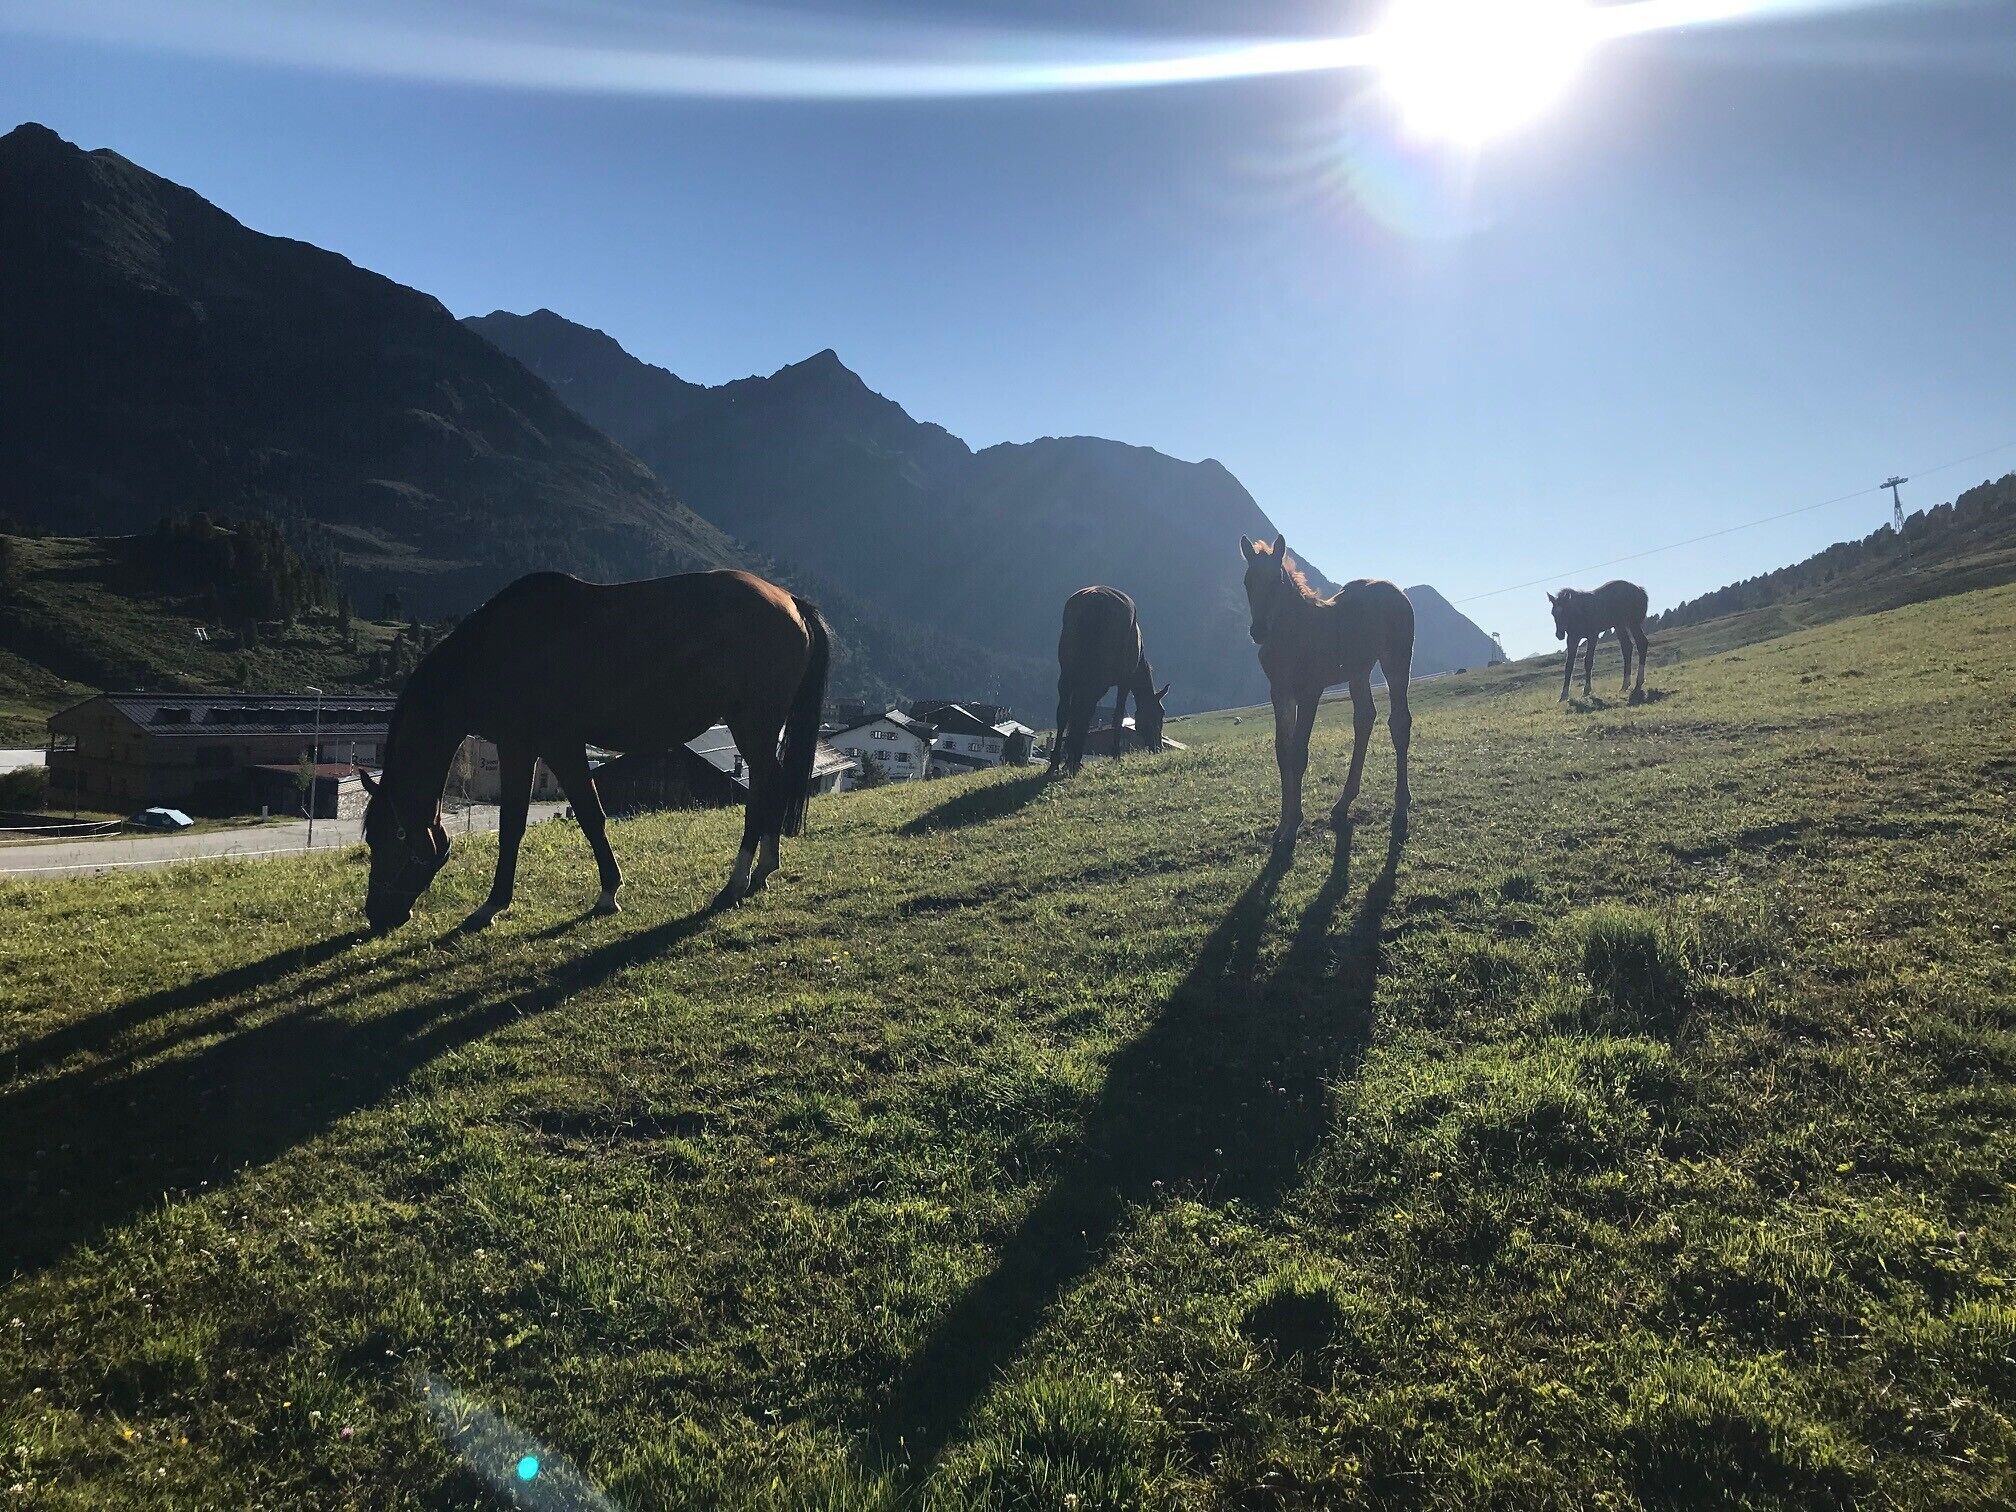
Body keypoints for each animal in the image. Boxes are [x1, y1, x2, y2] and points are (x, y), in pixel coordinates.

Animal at [360, 569, 830, 934]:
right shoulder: (547, 748)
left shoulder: (535, 746)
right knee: (772, 785)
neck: (497, 652)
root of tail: (790, 601)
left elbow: (534, 823)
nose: (378, 916)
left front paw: (494, 905)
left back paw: (736, 882)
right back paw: (763, 870)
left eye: (386, 839)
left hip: (752, 725)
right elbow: (587, 815)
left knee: (763, 788)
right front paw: (608, 890)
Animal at [1048, 586, 1170, 774]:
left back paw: (1058, 763)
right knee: (1083, 711)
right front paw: (1116, 755)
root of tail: (1092, 602)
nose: (1158, 748)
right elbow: (1117, 716)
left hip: (1067, 676)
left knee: (1066, 713)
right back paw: (1073, 761)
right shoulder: (1124, 682)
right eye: (1159, 713)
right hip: (1097, 681)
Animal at [1239, 535, 1414, 850]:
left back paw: (1401, 803)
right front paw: (1281, 825)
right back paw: (1343, 803)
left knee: (1399, 722)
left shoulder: (1310, 691)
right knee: (1365, 717)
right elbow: (1282, 751)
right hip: (1359, 670)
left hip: (1396, 661)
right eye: (1248, 581)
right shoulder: (1280, 692)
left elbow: (1298, 752)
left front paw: (1293, 825)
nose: (1258, 631)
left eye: (1276, 580)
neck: (1291, 633)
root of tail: (1397, 591)